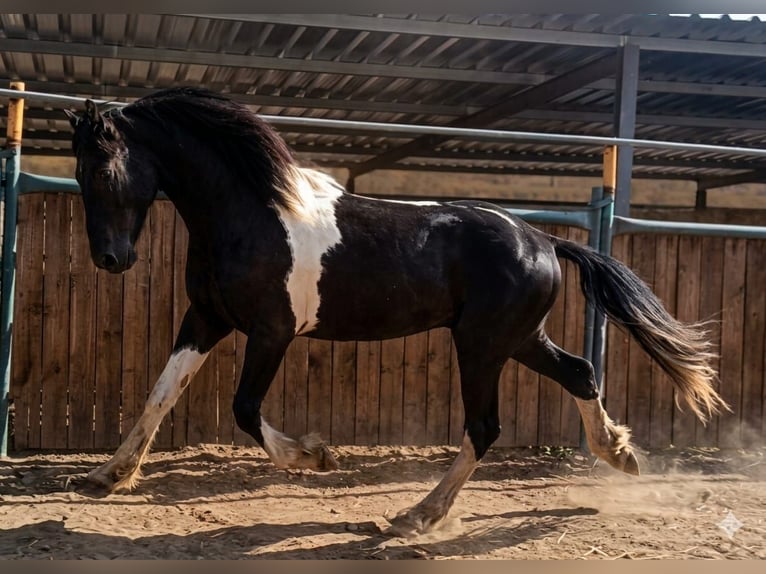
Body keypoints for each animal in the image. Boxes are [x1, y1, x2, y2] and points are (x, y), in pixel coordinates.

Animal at [65, 88, 727, 536]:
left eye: (102, 167)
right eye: (76, 170)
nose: (110, 259)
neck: (251, 214)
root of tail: (542, 239)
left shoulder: (273, 332)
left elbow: (245, 410)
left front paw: (315, 456)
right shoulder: (205, 319)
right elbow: (159, 395)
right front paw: (104, 477)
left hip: (482, 346)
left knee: (486, 427)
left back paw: (417, 515)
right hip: (517, 339)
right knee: (581, 373)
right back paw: (619, 454)